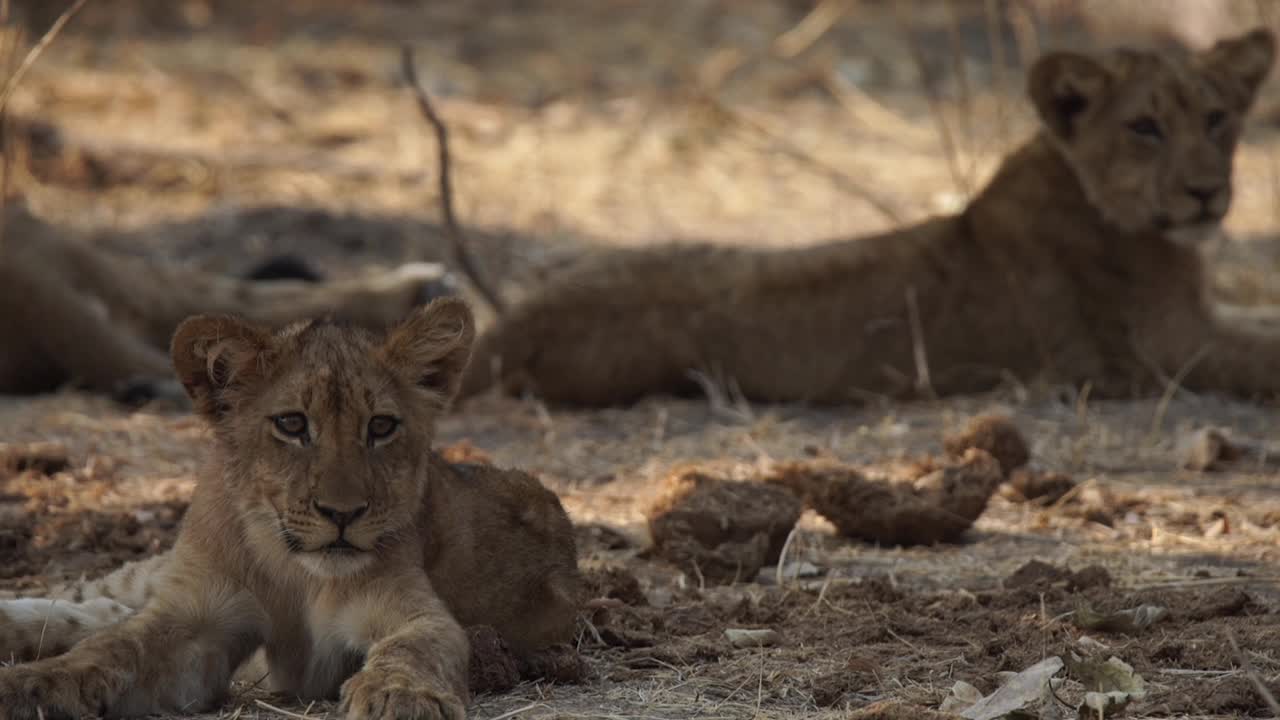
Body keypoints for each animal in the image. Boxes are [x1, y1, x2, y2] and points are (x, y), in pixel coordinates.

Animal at [0, 294, 576, 712]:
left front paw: (399, 696)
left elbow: (416, 647)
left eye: (381, 427)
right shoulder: (195, 618)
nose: (342, 514)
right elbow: (112, 647)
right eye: (292, 424)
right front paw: (31, 685)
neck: (294, 572)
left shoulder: (414, 614)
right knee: (94, 601)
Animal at [463, 28, 1280, 407]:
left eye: (1217, 119)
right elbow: (1261, 354)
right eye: (1145, 127)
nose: (1207, 192)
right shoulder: (1160, 354)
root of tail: (507, 326)